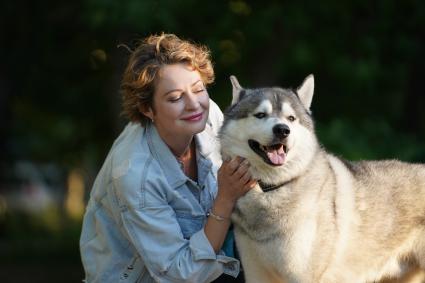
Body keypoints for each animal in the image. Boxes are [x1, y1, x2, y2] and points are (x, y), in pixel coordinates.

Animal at [219, 75, 424, 283]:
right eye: (260, 115)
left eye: (291, 118)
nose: (283, 130)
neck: (271, 188)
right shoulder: (256, 274)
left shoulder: (303, 277)